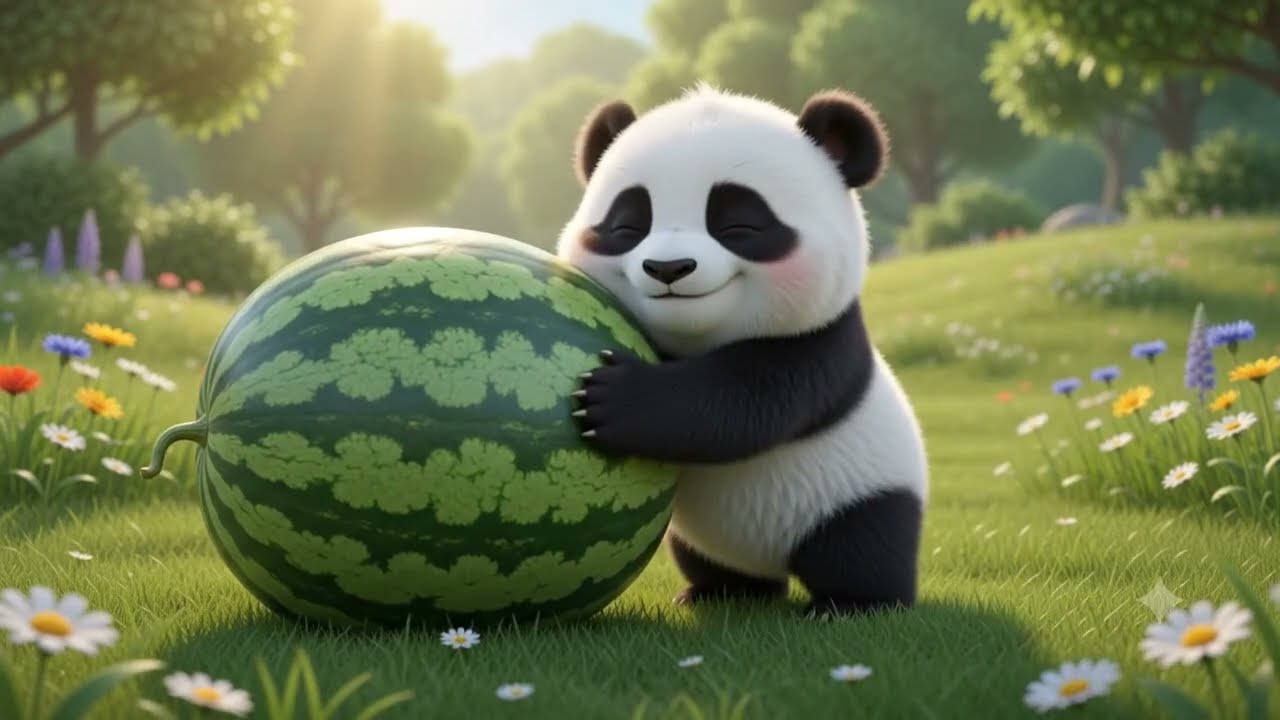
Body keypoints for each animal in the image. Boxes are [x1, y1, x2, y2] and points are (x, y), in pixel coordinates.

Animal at [555, 83, 929, 617]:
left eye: (738, 227)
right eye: (628, 227)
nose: (668, 268)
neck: (697, 338)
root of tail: (770, 562)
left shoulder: (823, 342)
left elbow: (745, 402)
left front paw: (612, 397)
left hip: (861, 489)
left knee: (862, 544)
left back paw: (851, 604)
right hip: (703, 538)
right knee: (710, 560)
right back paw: (719, 592)